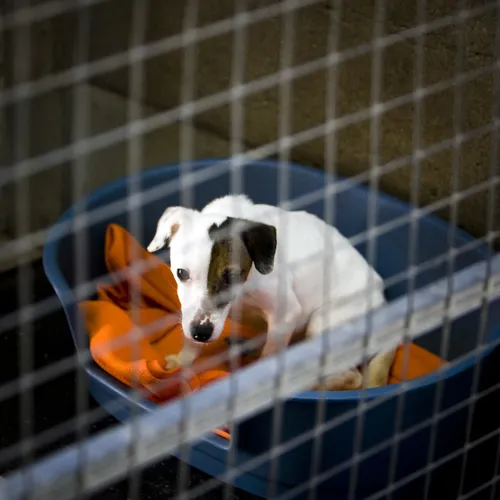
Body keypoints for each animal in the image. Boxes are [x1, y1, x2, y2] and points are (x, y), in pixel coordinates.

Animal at [146, 194, 396, 386]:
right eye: (181, 273)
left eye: (233, 276)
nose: (201, 333)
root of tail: (381, 300)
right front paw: (181, 363)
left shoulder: (285, 314)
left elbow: (269, 357)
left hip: (322, 324)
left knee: (351, 377)